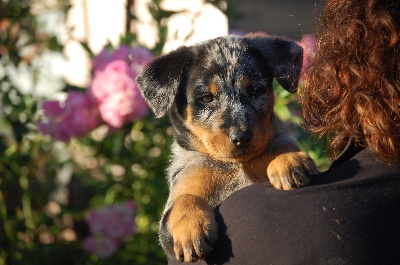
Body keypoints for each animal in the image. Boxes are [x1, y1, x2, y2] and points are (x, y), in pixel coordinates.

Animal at [138, 34, 318, 260]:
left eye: (255, 91)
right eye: (206, 97)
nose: (241, 137)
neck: (236, 167)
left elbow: (279, 147)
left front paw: (288, 160)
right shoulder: (184, 185)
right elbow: (185, 199)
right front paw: (191, 229)